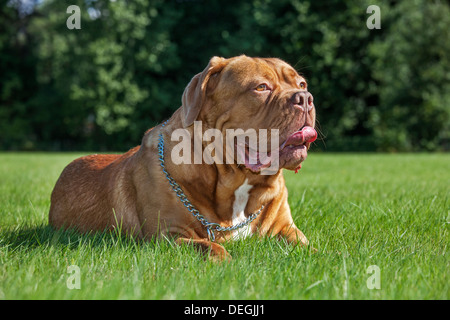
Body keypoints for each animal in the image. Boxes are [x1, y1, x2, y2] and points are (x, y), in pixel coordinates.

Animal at [49, 55, 316, 260]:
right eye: (261, 87)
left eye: (302, 83)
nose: (305, 97)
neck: (237, 181)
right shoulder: (169, 235)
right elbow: (210, 246)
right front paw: (225, 260)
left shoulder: (286, 227)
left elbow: (309, 246)